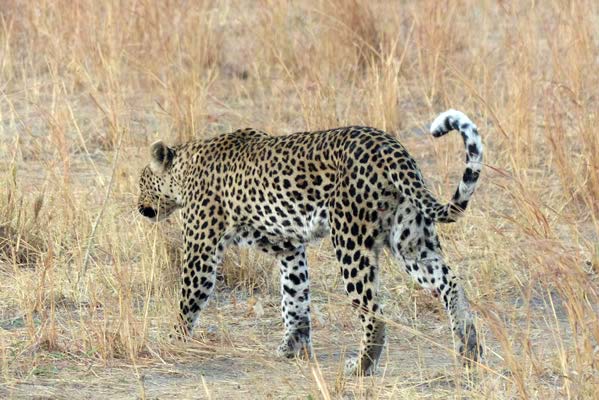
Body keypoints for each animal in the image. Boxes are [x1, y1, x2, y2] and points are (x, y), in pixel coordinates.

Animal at [138, 109, 486, 376]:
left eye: (142, 182)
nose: (139, 207)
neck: (184, 168)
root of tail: (391, 148)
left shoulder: (201, 248)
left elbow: (188, 299)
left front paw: (171, 341)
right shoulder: (288, 246)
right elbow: (294, 297)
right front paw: (293, 346)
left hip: (351, 241)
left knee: (373, 312)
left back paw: (361, 366)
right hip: (411, 240)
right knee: (450, 283)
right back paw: (468, 350)